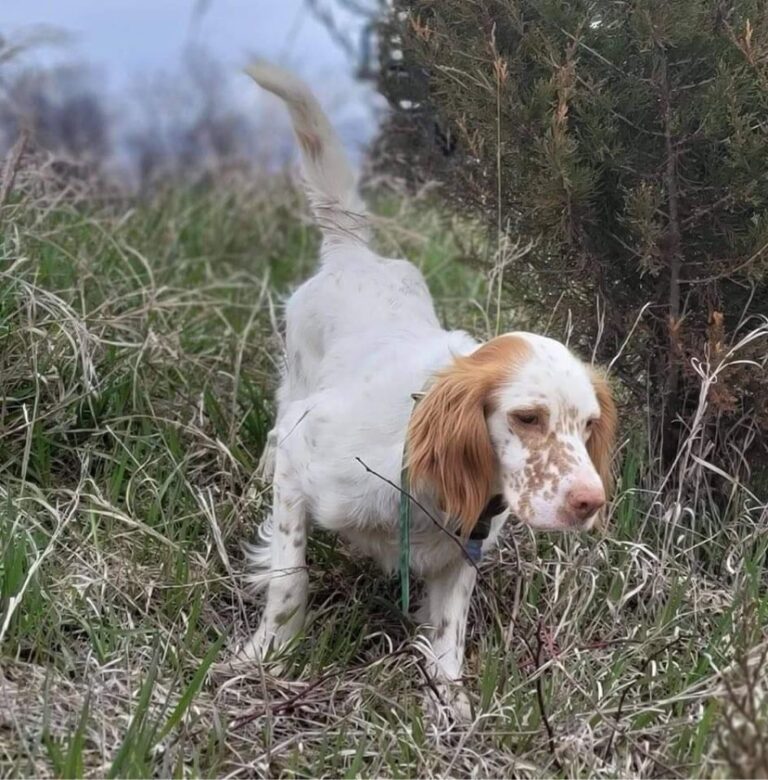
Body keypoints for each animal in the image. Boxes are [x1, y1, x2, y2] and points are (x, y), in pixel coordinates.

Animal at [237, 64, 616, 716]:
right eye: (527, 417)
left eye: (588, 426)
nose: (589, 502)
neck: (421, 474)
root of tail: (354, 254)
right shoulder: (302, 456)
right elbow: (290, 579)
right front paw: (267, 659)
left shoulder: (463, 550)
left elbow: (449, 631)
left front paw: (452, 708)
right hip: (295, 388)